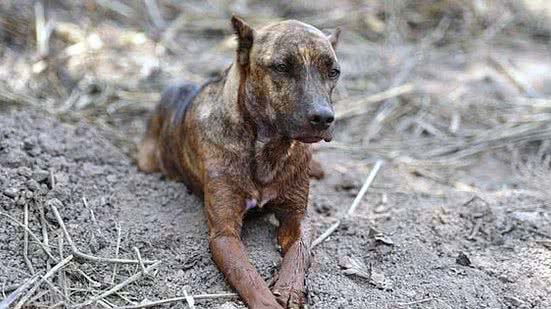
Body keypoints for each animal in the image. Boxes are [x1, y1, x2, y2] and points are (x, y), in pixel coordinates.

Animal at [138, 16, 340, 308]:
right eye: (281, 67)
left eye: (333, 71)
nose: (324, 117)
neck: (268, 147)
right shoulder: (224, 234)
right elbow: (247, 275)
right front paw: (269, 300)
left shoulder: (298, 217)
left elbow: (299, 252)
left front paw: (289, 287)